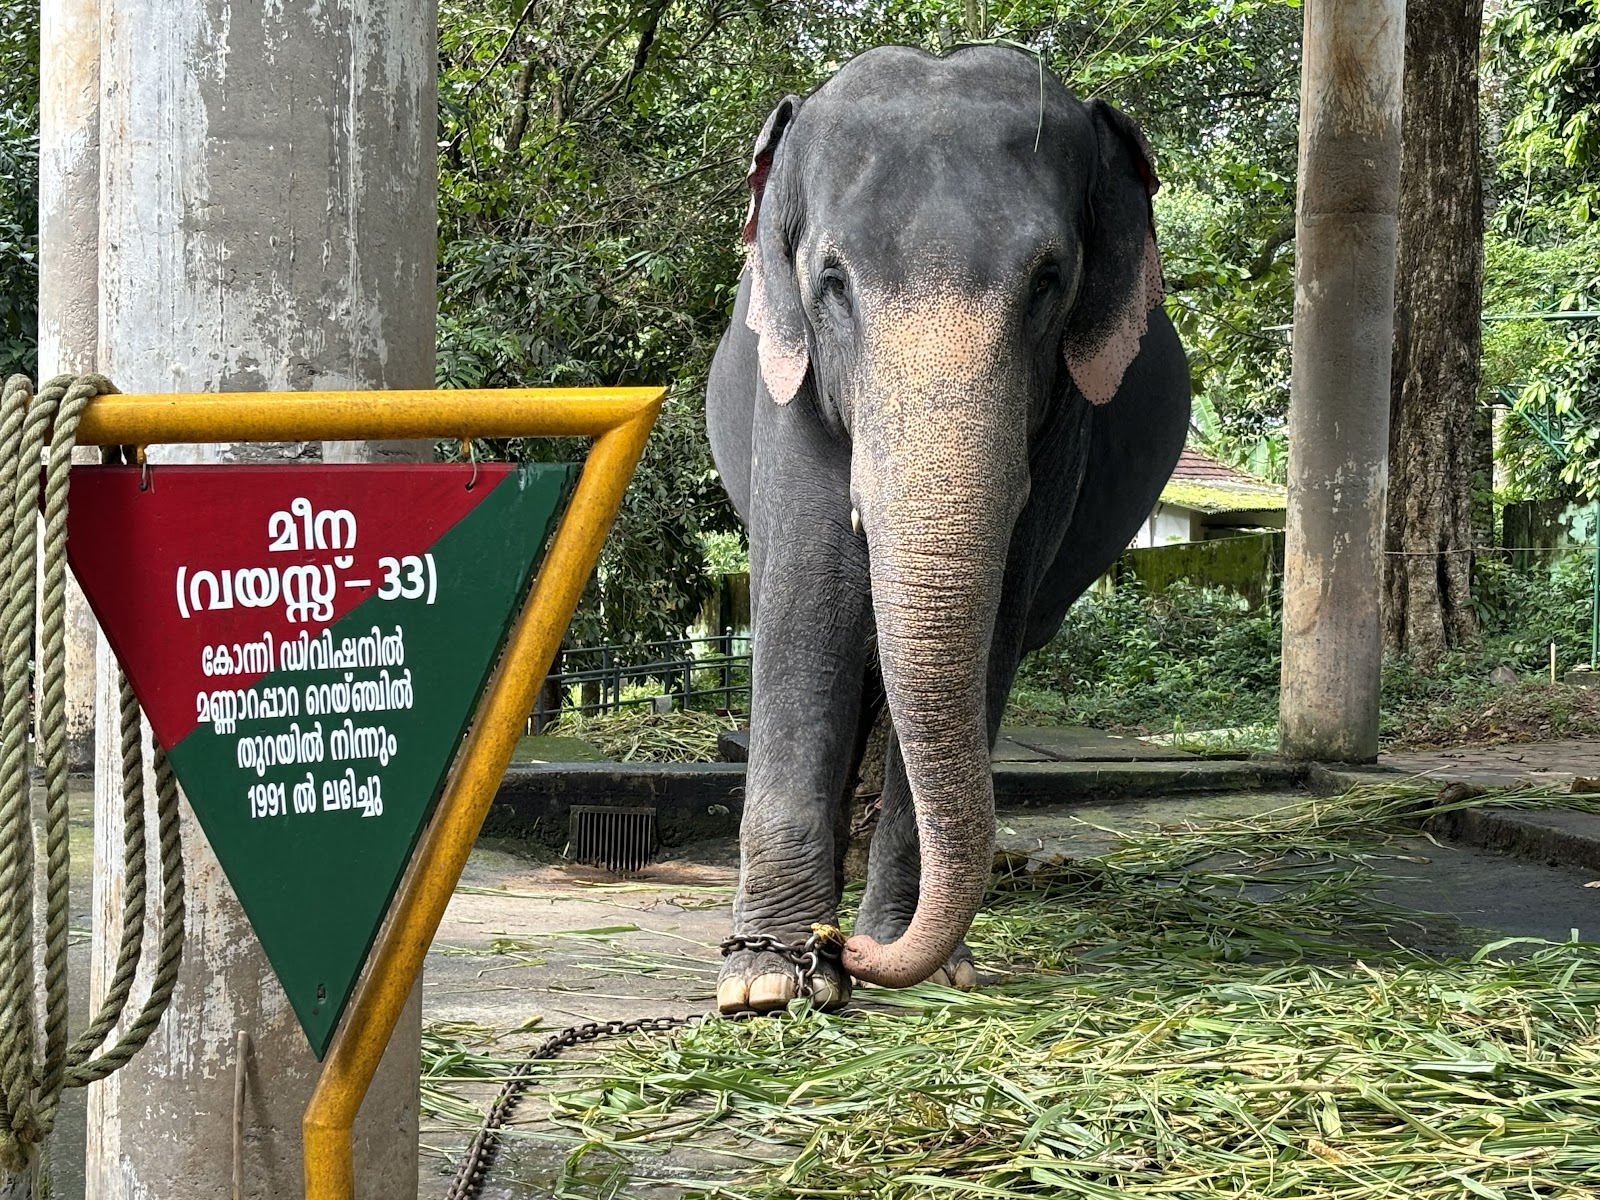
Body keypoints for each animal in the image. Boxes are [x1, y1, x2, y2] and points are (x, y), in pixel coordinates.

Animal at [705, 44, 1190, 1015]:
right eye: (833, 281)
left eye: (1048, 282)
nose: (840, 951)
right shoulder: (791, 382)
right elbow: (809, 607)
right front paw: (764, 983)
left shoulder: (1067, 417)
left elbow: (993, 621)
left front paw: (921, 963)